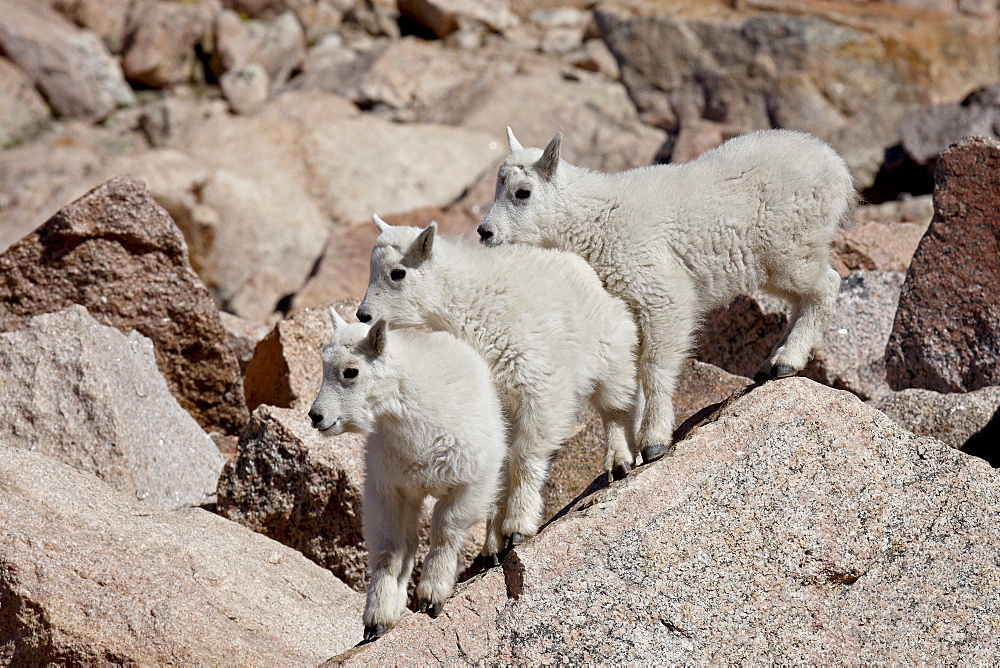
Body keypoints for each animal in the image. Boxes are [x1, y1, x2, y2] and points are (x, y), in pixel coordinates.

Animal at [308, 312, 504, 640]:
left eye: (351, 371)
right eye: (322, 368)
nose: (316, 416)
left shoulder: (470, 482)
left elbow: (445, 531)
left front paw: (432, 597)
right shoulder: (389, 490)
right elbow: (391, 548)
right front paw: (377, 619)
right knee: (410, 542)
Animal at [360, 215, 636, 552]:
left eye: (397, 273)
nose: (363, 315)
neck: (470, 310)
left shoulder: (540, 387)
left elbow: (525, 457)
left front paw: (518, 527)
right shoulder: (494, 407)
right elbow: (499, 468)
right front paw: (492, 544)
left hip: (609, 346)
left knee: (615, 404)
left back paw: (621, 460)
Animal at [480, 129, 856, 464]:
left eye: (523, 192)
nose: (485, 232)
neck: (592, 220)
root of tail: (836, 164)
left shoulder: (660, 293)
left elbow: (654, 368)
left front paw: (654, 442)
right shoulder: (622, 313)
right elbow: (623, 384)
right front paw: (620, 459)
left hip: (790, 248)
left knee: (826, 284)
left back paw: (787, 359)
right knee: (800, 299)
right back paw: (773, 362)